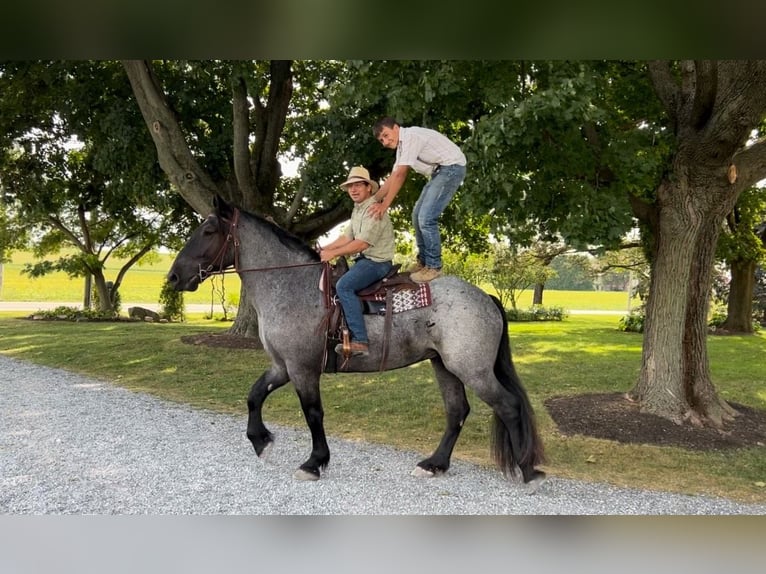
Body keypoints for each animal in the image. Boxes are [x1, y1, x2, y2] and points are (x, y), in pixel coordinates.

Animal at [171, 200, 548, 492]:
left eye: (208, 231)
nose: (174, 277)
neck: (291, 284)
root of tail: (485, 297)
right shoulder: (283, 365)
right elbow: (254, 396)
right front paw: (261, 440)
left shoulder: (302, 368)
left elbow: (313, 414)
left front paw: (314, 462)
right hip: (444, 366)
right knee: (457, 412)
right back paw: (435, 464)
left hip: (473, 369)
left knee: (508, 406)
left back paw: (528, 471)